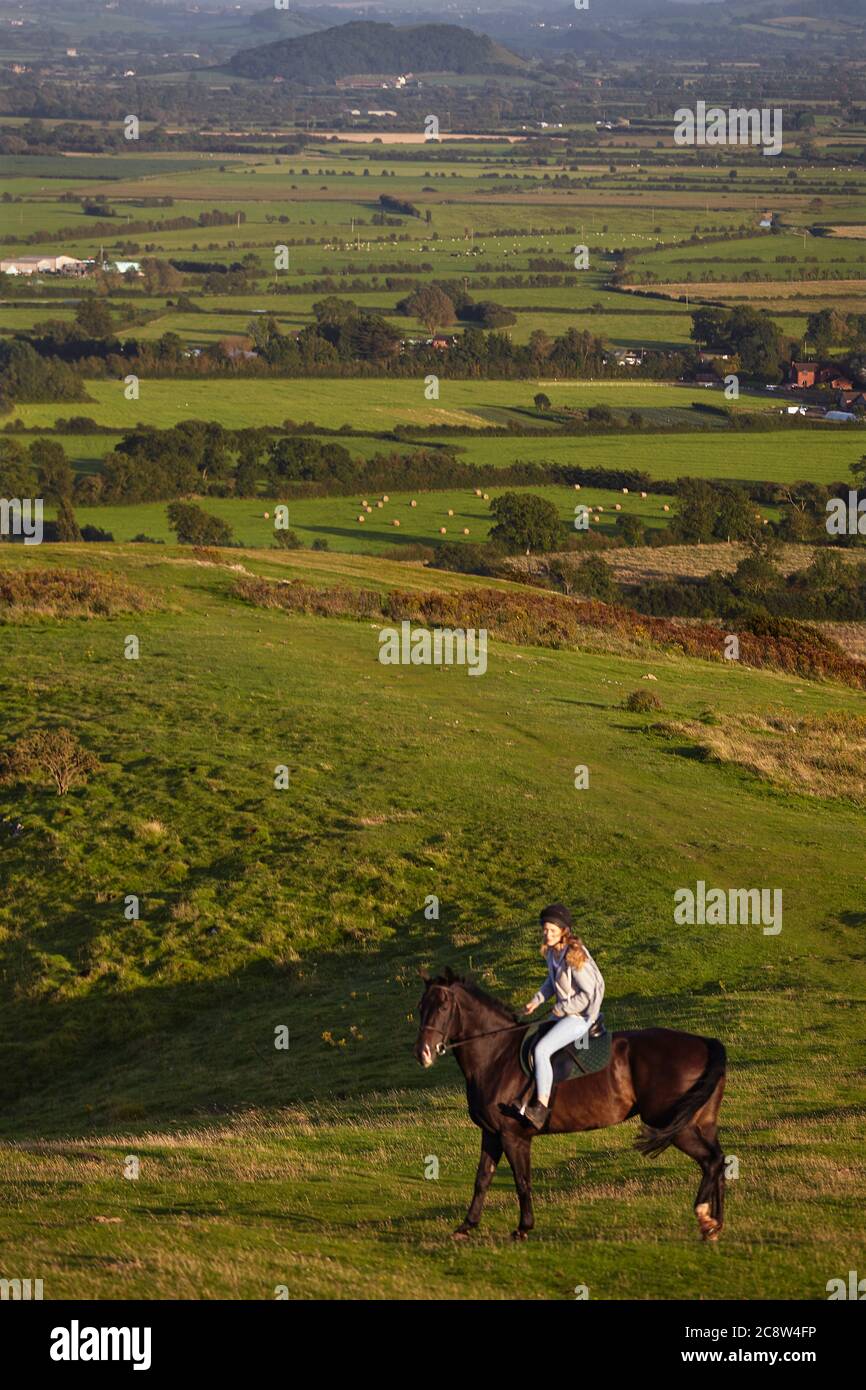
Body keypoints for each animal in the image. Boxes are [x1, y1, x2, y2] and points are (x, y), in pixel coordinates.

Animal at [417, 967, 728, 1251]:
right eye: (421, 1008)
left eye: (443, 1006)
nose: (424, 1054)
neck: (497, 1056)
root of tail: (705, 1042)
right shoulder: (492, 1134)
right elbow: (482, 1179)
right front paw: (465, 1226)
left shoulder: (513, 1136)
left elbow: (522, 1180)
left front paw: (523, 1228)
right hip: (701, 1124)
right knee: (719, 1160)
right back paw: (714, 1225)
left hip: (676, 1126)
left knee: (711, 1161)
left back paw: (705, 1216)